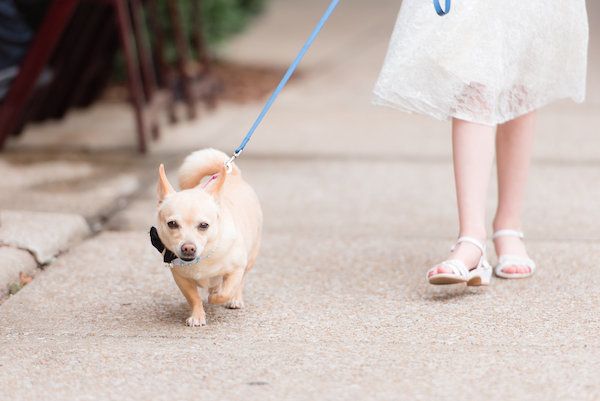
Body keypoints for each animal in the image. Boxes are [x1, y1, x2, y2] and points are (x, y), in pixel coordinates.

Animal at [154, 148, 262, 326]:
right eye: (172, 224)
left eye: (204, 225)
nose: (188, 248)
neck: (203, 258)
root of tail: (233, 175)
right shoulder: (181, 279)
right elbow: (194, 298)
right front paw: (197, 316)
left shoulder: (236, 269)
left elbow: (226, 292)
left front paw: (216, 298)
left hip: (250, 258)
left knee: (240, 283)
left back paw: (235, 299)